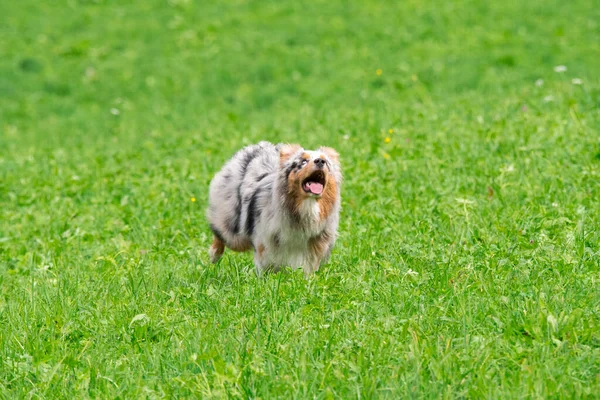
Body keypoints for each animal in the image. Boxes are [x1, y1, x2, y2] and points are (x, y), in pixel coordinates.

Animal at [206, 141, 340, 276]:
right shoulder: (265, 242)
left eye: (326, 162)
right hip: (233, 229)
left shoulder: (315, 245)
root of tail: (257, 146)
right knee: (220, 234)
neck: (306, 207)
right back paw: (213, 257)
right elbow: (265, 265)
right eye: (303, 161)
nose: (320, 161)